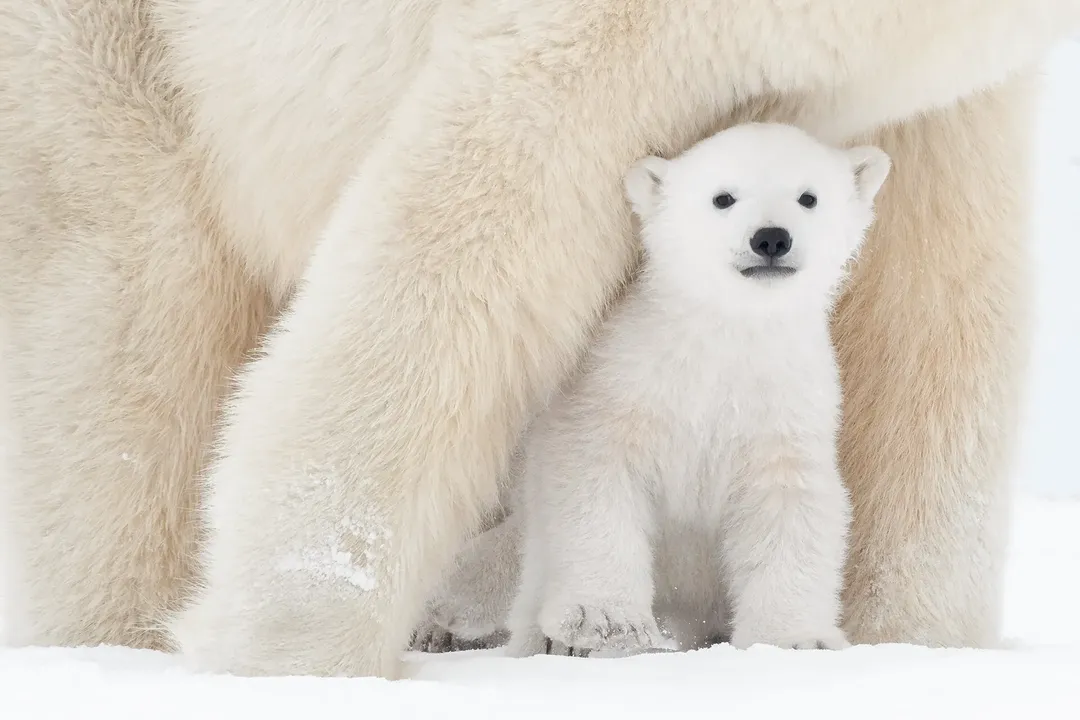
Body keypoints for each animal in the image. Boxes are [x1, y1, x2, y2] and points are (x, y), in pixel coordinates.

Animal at [0, 0, 1075, 677]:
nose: (772, 239)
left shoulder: (935, 86)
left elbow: (936, 298)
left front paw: (907, 641)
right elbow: (475, 225)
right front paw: (294, 652)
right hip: (117, 59)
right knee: (129, 311)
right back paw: (119, 631)